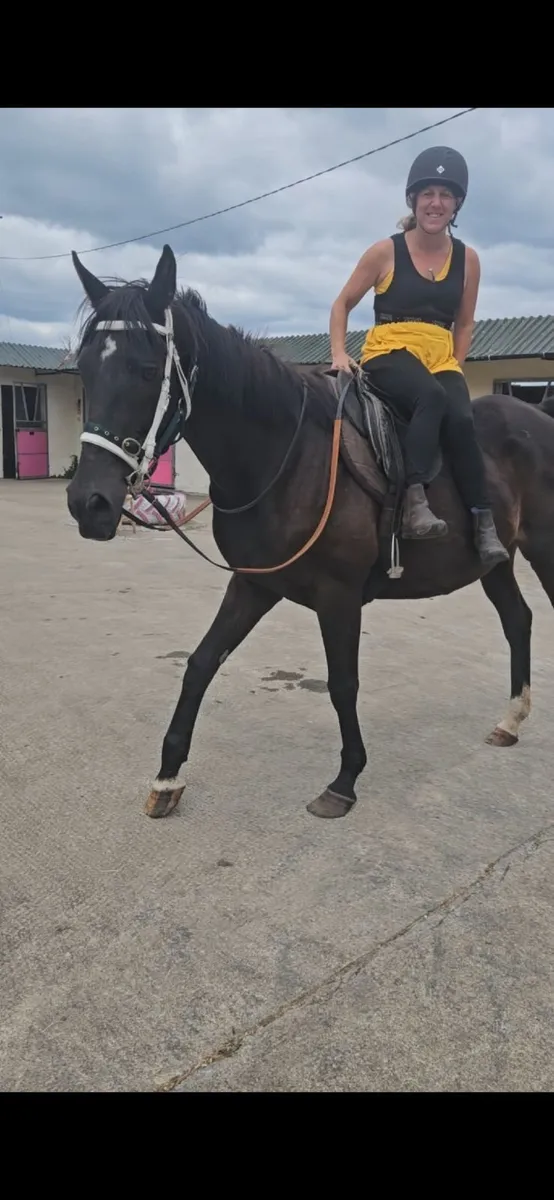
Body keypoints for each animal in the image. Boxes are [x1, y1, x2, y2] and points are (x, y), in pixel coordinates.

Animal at [66, 243, 554, 822]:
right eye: (84, 370)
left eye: (145, 371)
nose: (88, 503)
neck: (284, 456)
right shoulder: (253, 583)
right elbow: (201, 663)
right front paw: (167, 777)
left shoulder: (338, 594)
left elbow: (342, 683)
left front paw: (344, 781)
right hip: (495, 559)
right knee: (518, 620)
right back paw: (510, 720)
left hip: (545, 547)